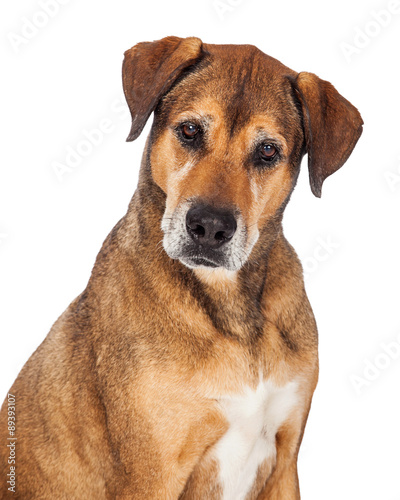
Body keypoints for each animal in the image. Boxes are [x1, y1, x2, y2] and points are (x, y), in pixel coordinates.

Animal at [0, 37, 362, 498]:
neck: (232, 309)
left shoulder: (284, 463)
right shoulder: (152, 474)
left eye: (267, 150)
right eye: (190, 130)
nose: (209, 227)